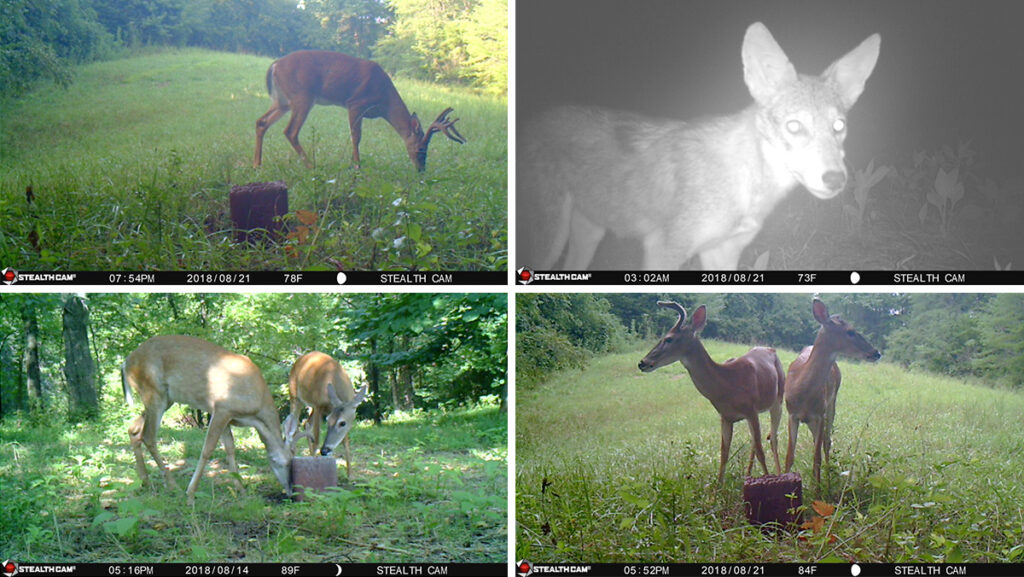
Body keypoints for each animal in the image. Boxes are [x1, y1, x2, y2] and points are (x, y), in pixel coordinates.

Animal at [253, 51, 466, 171]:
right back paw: (311, 166)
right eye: (421, 148)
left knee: (261, 122)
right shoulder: (355, 103)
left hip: (283, 101)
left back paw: (257, 164)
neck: (384, 100)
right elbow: (356, 136)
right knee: (290, 131)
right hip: (302, 96)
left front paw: (352, 162)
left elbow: (355, 136)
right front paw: (357, 165)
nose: (421, 169)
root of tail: (274, 65)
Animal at [634, 301, 786, 485]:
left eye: (668, 338)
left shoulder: (751, 410)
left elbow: (760, 452)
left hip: (778, 398)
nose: (642, 362)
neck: (727, 384)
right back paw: (749, 474)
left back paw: (779, 473)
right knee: (756, 442)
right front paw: (718, 489)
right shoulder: (725, 416)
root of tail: (770, 349)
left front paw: (769, 480)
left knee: (773, 439)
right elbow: (724, 454)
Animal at [782, 297, 880, 483]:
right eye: (850, 332)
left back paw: (827, 480)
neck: (803, 389)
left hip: (832, 404)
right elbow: (789, 456)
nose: (876, 352)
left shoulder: (820, 413)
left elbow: (817, 458)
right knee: (819, 441)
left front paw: (819, 489)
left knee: (826, 443)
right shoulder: (792, 414)